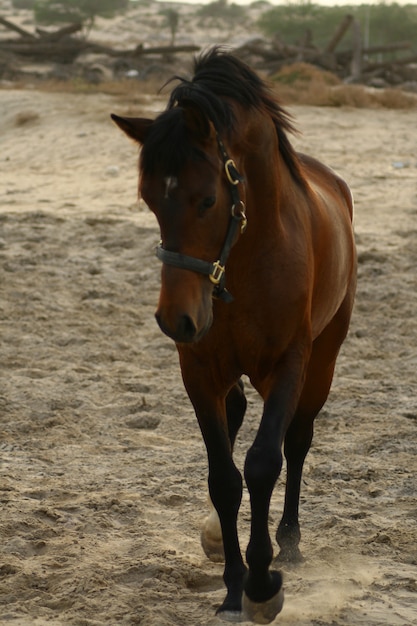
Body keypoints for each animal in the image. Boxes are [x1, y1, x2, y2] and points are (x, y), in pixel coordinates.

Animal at [112, 47, 356, 620]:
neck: (248, 261)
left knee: (298, 439)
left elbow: (264, 462)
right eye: (149, 200)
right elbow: (224, 478)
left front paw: (263, 584)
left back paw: (289, 540)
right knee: (239, 417)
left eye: (206, 200)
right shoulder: (200, 369)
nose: (175, 319)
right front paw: (231, 586)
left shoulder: (290, 364)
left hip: (323, 361)